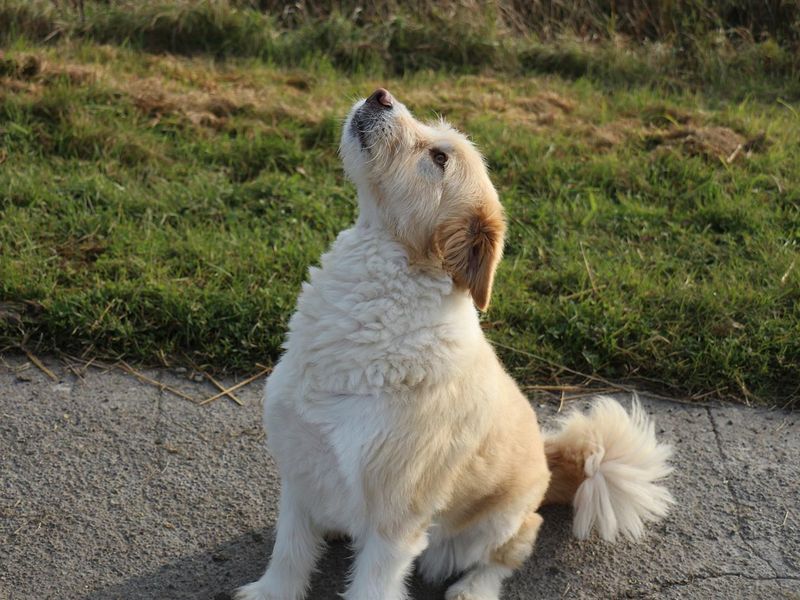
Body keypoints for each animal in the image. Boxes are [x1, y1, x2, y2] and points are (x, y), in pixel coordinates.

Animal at [238, 89, 676, 600]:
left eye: (440, 158)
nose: (381, 94)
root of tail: (552, 467)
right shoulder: (301, 471)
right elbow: (289, 552)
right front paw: (270, 592)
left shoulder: (396, 522)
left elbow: (370, 585)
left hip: (491, 527)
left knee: (517, 543)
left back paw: (473, 588)